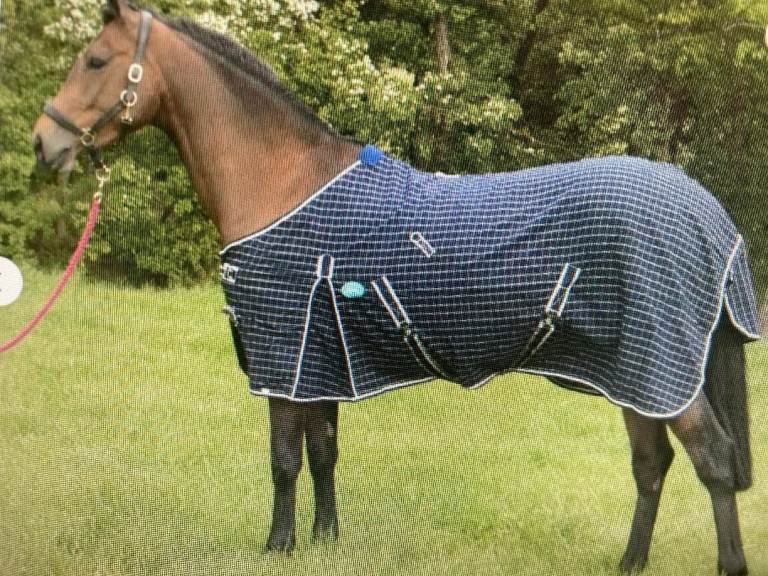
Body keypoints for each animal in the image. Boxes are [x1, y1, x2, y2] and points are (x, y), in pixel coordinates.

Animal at [32, 2, 759, 574]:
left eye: (95, 60)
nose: (44, 144)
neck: (282, 185)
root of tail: (705, 207)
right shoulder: (321, 359)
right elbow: (323, 452)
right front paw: (324, 540)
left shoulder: (283, 351)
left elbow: (284, 459)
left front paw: (277, 547)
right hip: (635, 374)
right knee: (652, 465)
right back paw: (629, 563)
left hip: (661, 367)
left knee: (713, 462)